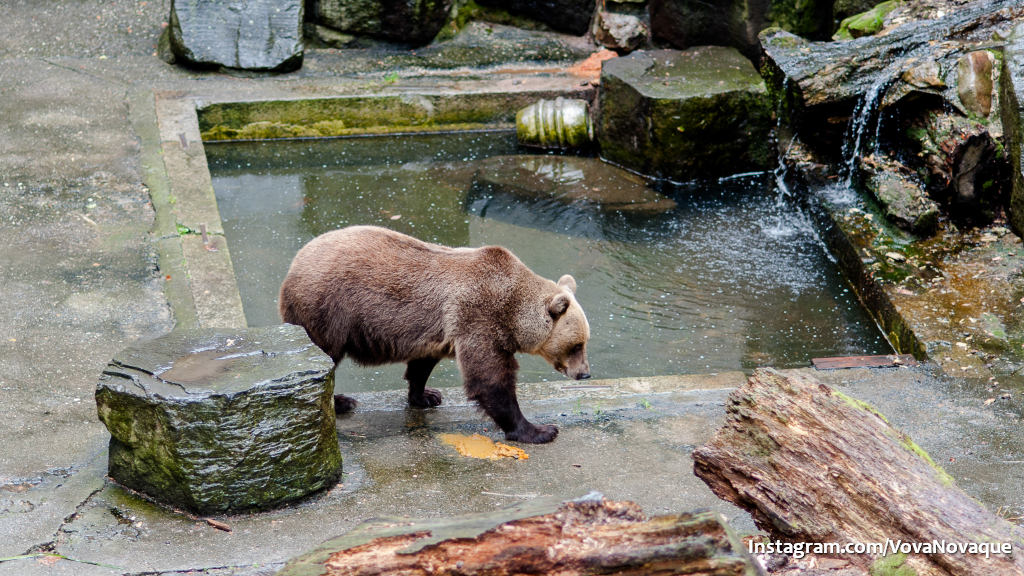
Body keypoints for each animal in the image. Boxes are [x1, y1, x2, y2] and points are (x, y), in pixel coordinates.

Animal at [278, 225, 593, 444]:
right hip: (326, 310)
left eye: (585, 342)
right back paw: (341, 401)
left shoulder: (439, 329)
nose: (585, 373)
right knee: (325, 358)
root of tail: (294, 263)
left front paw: (426, 395)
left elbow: (422, 363)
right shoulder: (479, 317)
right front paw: (539, 430)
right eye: (576, 345)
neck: (512, 312)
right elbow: (489, 378)